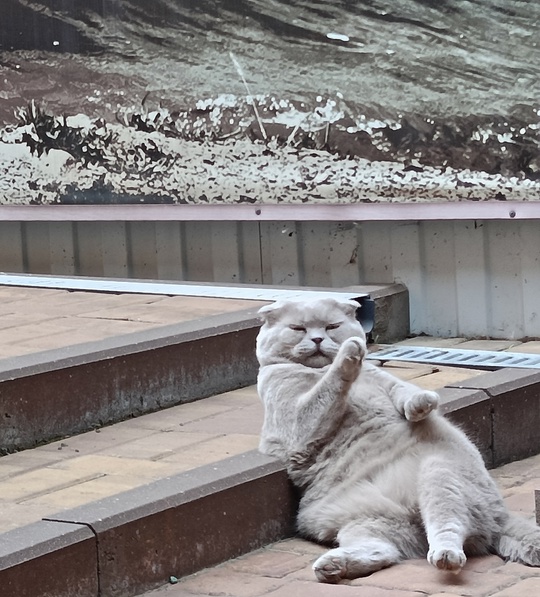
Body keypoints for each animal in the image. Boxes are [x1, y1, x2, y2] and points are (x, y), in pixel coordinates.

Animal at [256, 296, 540, 584]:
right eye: (298, 328)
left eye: (331, 326)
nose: (317, 339)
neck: (317, 370)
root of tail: (502, 517)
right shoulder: (298, 422)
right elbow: (325, 392)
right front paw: (349, 354)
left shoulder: (386, 382)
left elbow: (403, 391)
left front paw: (422, 404)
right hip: (373, 520)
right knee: (390, 549)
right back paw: (334, 566)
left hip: (438, 474)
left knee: (443, 529)